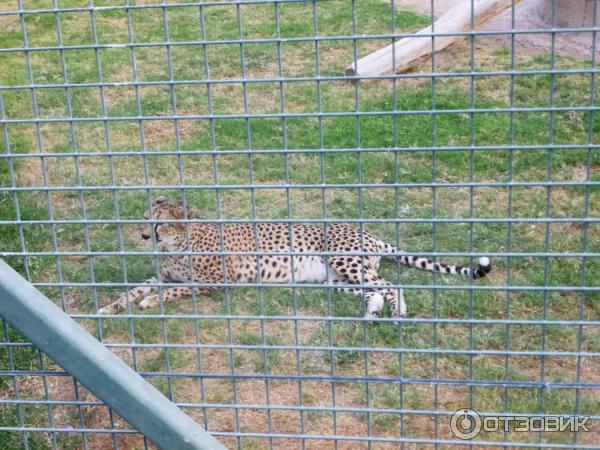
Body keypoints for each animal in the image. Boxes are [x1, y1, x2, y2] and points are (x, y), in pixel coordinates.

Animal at [99, 198, 492, 320]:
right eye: (145, 219)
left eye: (161, 223)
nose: (144, 236)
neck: (179, 244)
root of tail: (369, 233)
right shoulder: (163, 275)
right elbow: (134, 288)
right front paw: (109, 307)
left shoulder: (216, 281)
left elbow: (173, 291)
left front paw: (150, 302)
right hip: (338, 281)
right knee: (374, 291)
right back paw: (372, 313)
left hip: (346, 262)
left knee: (391, 285)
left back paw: (399, 313)